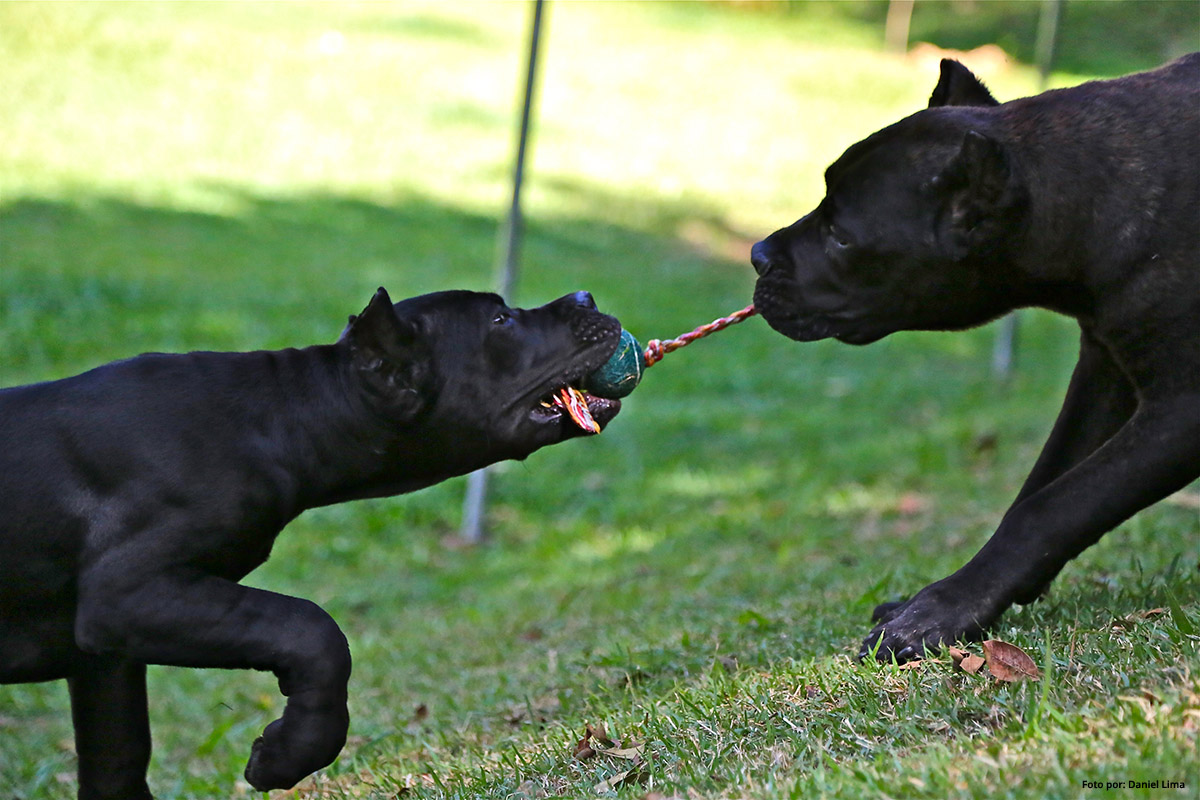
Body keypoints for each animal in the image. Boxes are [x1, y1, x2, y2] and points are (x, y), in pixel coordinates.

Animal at [0, 287, 621, 798]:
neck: (281, 415)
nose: (587, 297)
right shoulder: (125, 591)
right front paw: (285, 755)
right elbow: (312, 630)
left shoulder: (104, 661)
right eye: (500, 319)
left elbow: (118, 762)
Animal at [751, 54, 1199, 662]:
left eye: (841, 235)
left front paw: (940, 612)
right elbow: (1043, 485)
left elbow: (1056, 504)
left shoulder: (1180, 409)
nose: (757, 255)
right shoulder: (1105, 370)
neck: (1092, 196)